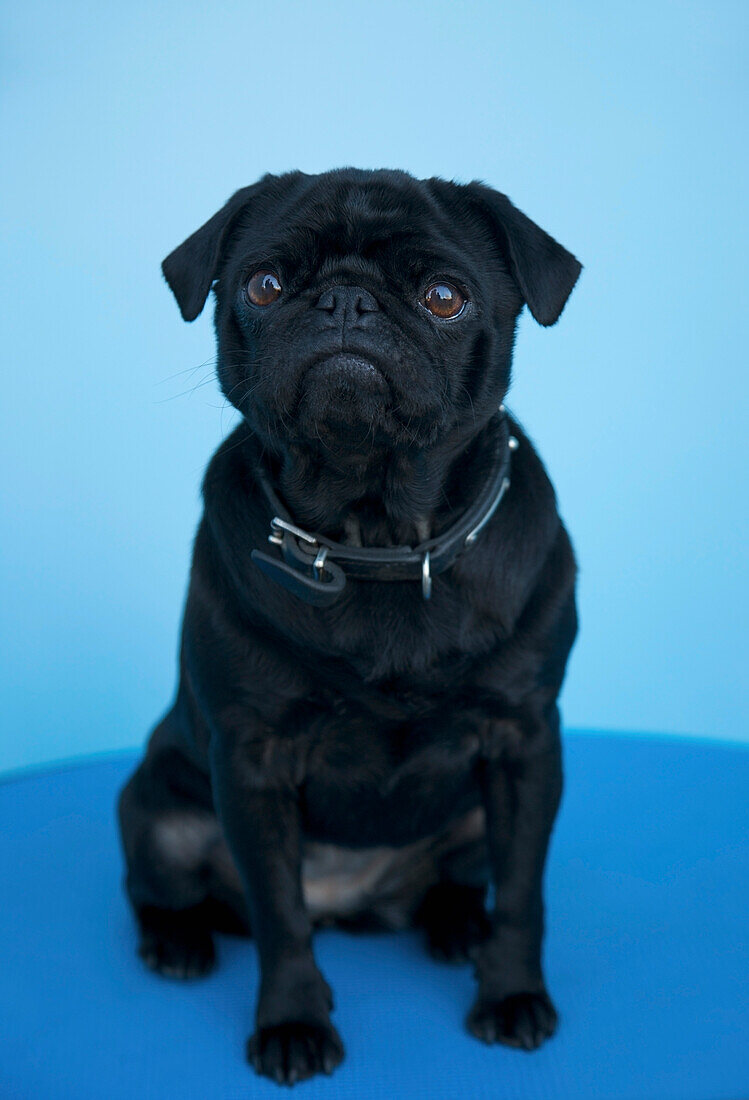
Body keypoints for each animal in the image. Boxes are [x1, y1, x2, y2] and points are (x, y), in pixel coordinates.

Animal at [116, 167, 580, 1086]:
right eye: (263, 286)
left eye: (443, 297)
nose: (344, 302)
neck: (377, 539)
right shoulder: (252, 761)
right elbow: (278, 915)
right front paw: (292, 1020)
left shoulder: (523, 745)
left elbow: (522, 893)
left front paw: (510, 993)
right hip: (154, 812)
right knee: (170, 890)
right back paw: (176, 944)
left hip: (473, 820)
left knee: (463, 881)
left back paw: (456, 927)